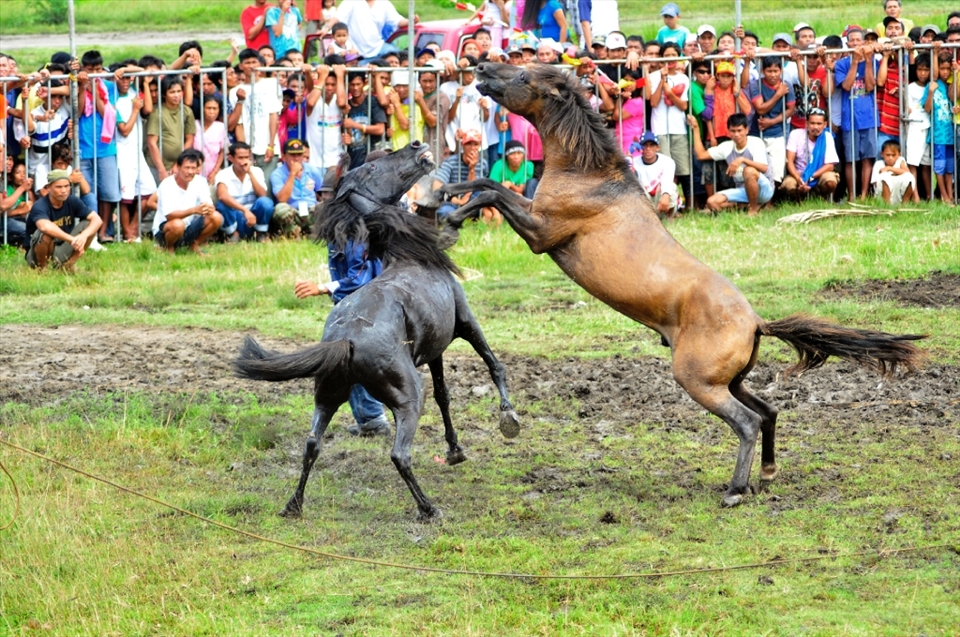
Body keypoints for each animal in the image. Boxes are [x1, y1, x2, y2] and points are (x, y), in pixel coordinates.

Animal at [234, 141, 521, 519]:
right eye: (371, 169)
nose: (416, 145)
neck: (409, 255)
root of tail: (345, 340)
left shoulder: (435, 348)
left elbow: (444, 396)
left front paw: (456, 451)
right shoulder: (464, 321)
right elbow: (493, 364)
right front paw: (509, 418)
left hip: (327, 396)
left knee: (312, 443)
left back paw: (293, 506)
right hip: (408, 396)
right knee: (399, 454)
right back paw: (429, 508)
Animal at [437, 63, 925, 508]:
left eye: (523, 77)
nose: (480, 68)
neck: (589, 174)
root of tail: (756, 322)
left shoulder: (541, 233)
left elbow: (492, 192)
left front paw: (449, 217)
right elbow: (487, 181)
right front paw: (447, 194)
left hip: (699, 382)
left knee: (747, 422)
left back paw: (735, 490)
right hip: (730, 381)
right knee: (768, 411)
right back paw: (766, 474)